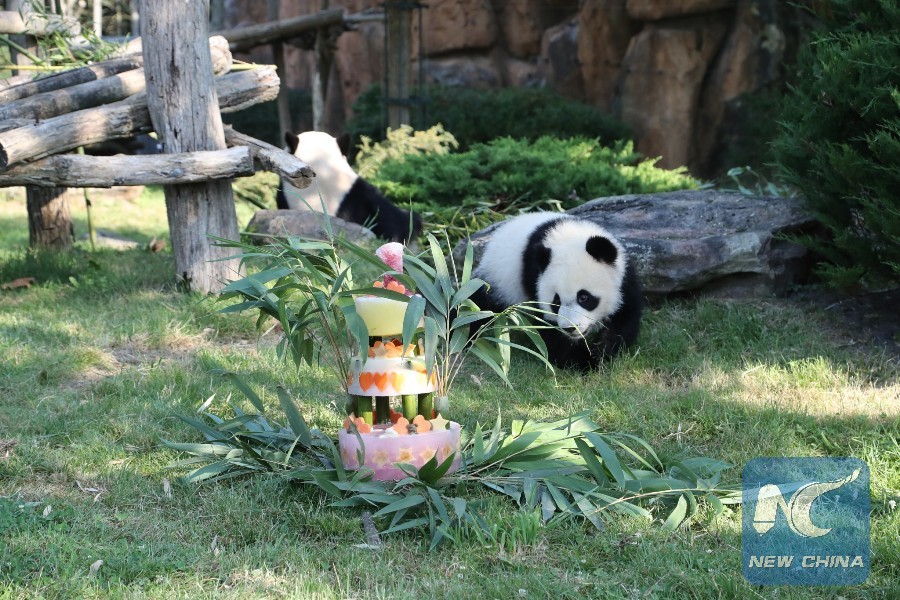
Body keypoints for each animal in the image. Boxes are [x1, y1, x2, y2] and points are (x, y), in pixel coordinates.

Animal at [470, 212, 642, 371]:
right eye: (556, 301)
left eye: (584, 297)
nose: (570, 328)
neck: (570, 236)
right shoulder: (534, 279)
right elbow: (548, 330)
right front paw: (583, 361)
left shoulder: (623, 279)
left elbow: (624, 317)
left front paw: (599, 353)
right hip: (496, 280)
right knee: (480, 305)